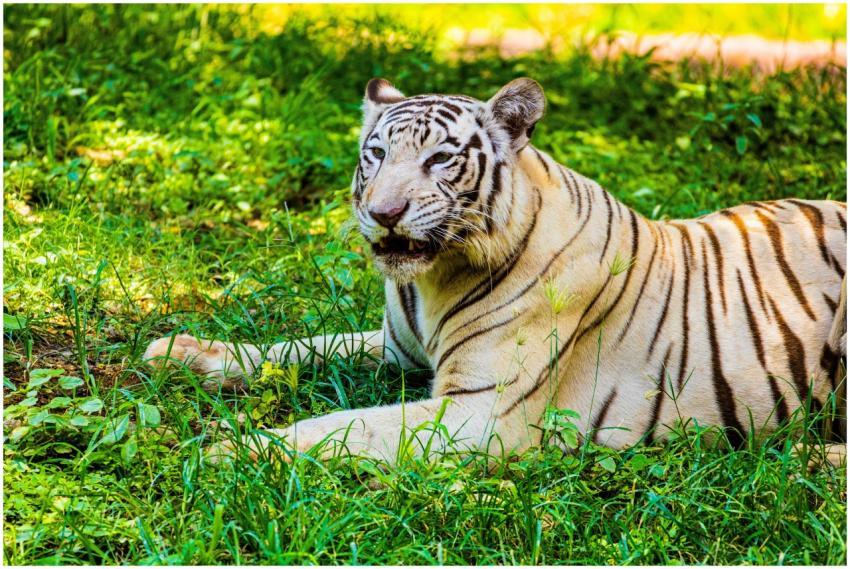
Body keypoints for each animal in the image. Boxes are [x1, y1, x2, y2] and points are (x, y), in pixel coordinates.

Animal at [144, 77, 847, 465]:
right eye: (376, 155)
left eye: (440, 159)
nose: (383, 213)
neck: (431, 280)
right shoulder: (398, 350)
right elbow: (300, 347)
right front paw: (184, 354)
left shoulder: (478, 413)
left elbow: (336, 428)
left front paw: (232, 451)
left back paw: (808, 462)